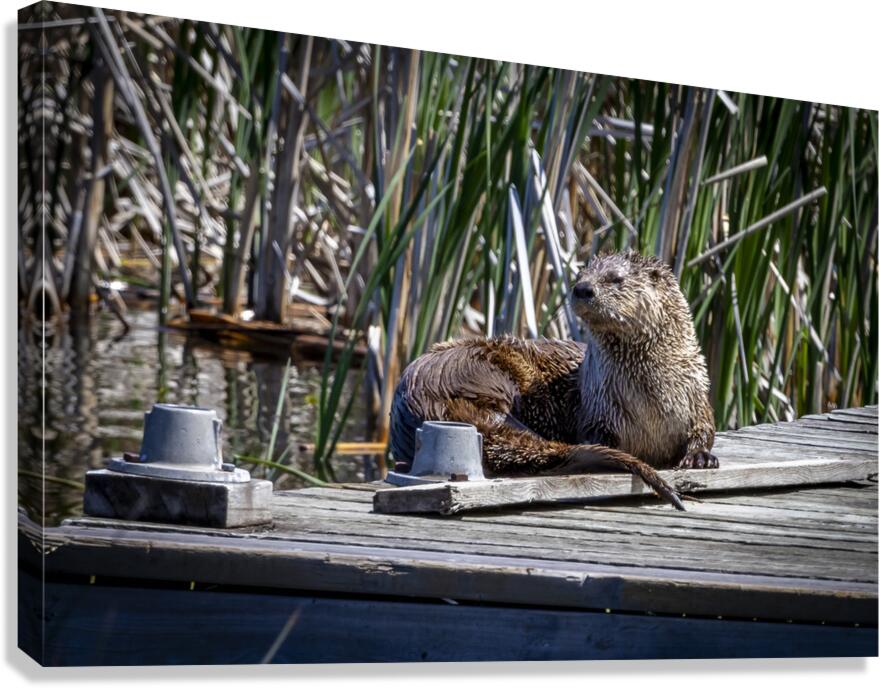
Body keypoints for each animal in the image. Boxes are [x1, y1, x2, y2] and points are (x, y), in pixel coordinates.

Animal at [389, 251, 717, 509]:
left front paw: (701, 457)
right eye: (580, 274)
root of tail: (425, 397)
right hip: (483, 373)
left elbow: (705, 430)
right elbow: (595, 437)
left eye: (615, 278)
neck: (651, 402)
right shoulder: (600, 410)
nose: (583, 289)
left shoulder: (698, 397)